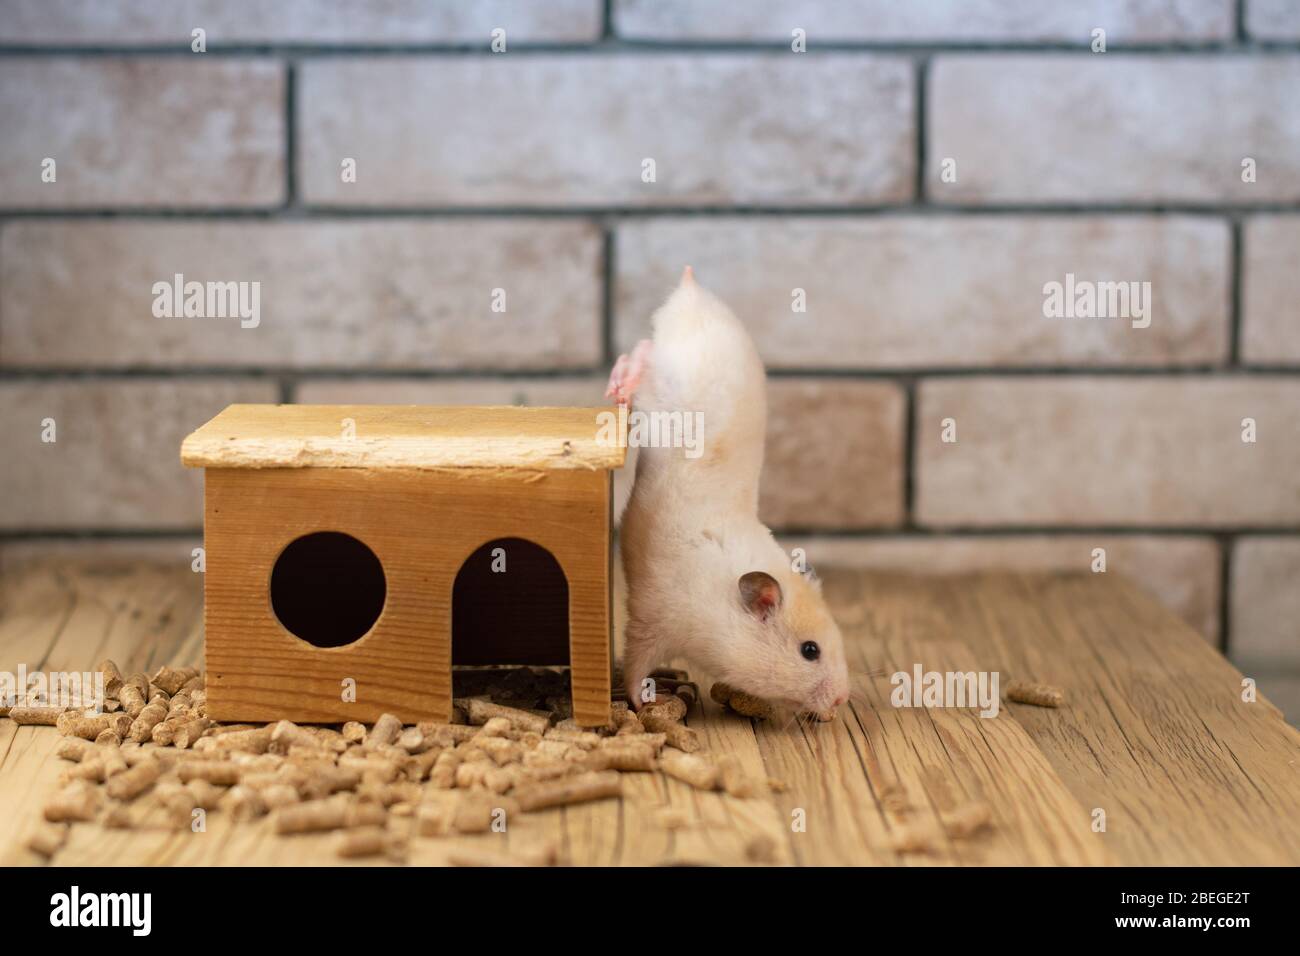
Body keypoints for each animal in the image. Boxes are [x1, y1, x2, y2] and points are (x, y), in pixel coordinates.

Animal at [608, 269, 852, 717]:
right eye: (810, 651)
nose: (842, 700)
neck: (718, 608)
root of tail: (693, 294)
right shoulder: (653, 620)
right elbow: (636, 667)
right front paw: (647, 700)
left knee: (645, 346)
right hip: (664, 380)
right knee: (640, 358)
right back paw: (618, 384)